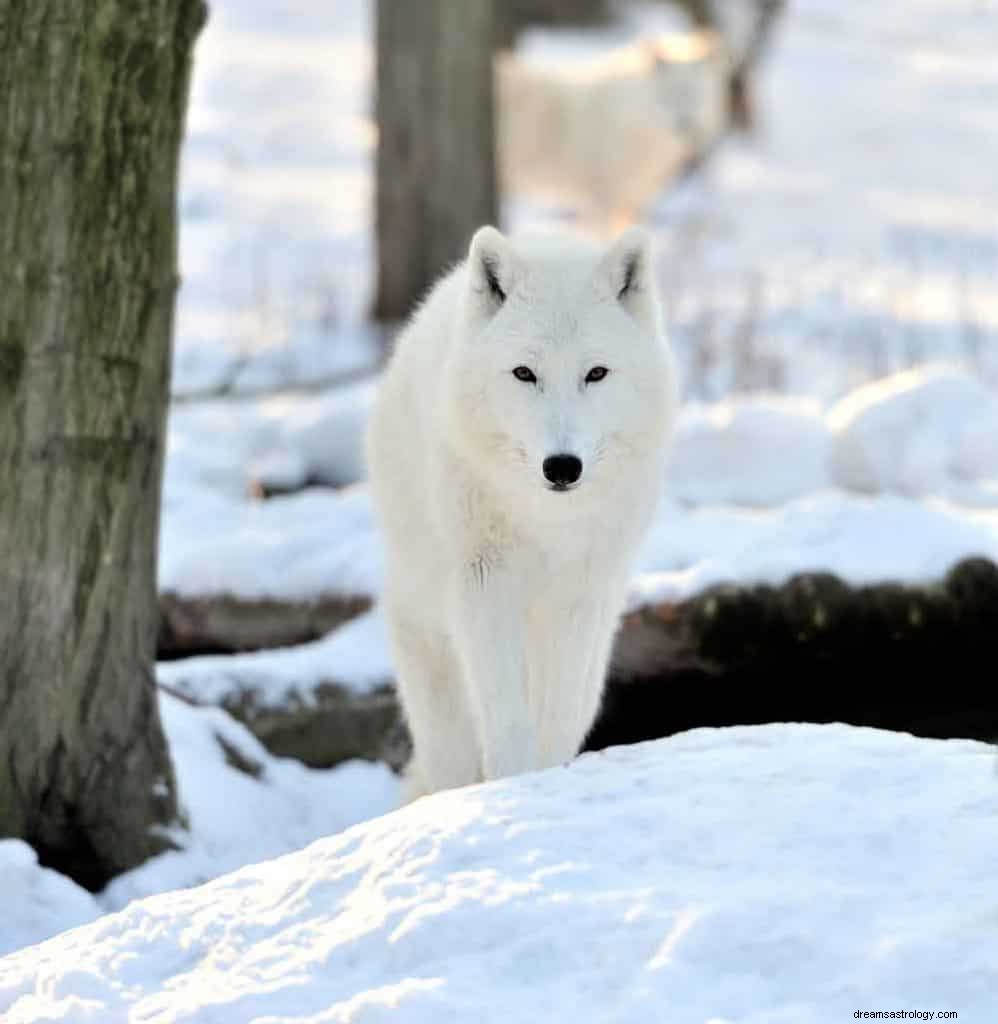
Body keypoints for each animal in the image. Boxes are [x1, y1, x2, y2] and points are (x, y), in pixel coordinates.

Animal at [366, 222, 679, 798]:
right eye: (524, 373)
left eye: (596, 373)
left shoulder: (580, 592)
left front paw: (547, 784)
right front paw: (513, 788)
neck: (545, 522)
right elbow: (507, 721)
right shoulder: (484, 583)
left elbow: (555, 718)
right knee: (449, 758)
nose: (563, 466)